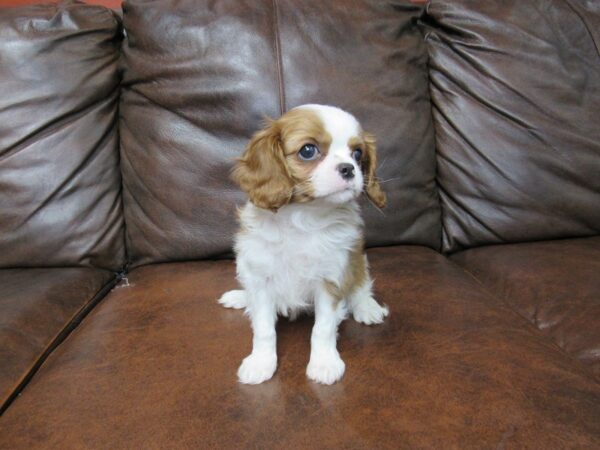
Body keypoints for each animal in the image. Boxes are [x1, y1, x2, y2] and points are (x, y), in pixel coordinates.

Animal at [219, 103, 390, 384]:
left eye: (357, 154)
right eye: (308, 150)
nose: (349, 168)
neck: (304, 216)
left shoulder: (331, 278)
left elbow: (323, 328)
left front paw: (324, 364)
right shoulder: (261, 277)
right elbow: (264, 328)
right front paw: (260, 363)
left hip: (357, 260)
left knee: (361, 284)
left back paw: (366, 307)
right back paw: (240, 296)